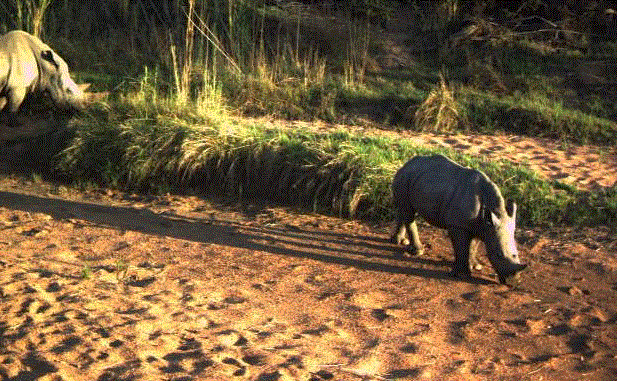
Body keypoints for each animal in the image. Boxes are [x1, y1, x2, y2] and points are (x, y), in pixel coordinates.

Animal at [392, 154, 528, 282]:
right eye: (498, 255)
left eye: (516, 255)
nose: (513, 281)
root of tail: (406, 164)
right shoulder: (458, 225)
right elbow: (461, 248)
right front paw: (461, 275)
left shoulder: (480, 225)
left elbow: (473, 246)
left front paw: (475, 266)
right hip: (405, 179)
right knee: (408, 212)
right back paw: (418, 251)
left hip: (414, 180)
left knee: (404, 210)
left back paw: (398, 241)